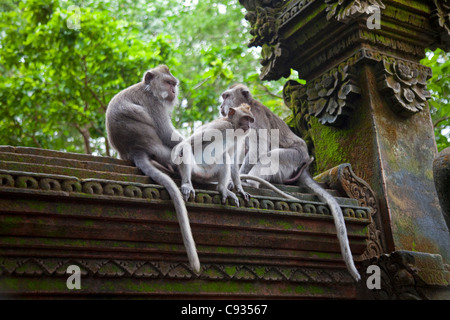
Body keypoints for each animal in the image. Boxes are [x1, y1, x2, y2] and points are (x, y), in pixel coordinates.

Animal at [106, 64, 200, 272]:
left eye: (174, 84)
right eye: (168, 82)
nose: (173, 91)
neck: (149, 89)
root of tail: (134, 151)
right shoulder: (154, 104)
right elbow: (169, 136)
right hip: (159, 148)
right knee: (177, 148)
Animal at [220, 84, 360, 282]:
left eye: (226, 96)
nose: (221, 105)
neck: (248, 106)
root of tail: (304, 163)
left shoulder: (255, 120)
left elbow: (258, 149)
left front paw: (238, 181)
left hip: (293, 159)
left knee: (270, 156)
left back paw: (251, 184)